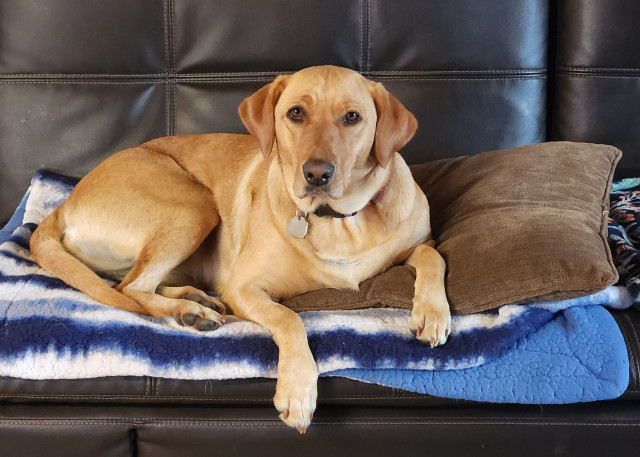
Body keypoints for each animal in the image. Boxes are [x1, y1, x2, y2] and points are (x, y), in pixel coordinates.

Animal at [28, 64, 450, 432]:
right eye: (296, 113)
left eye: (352, 117)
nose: (317, 174)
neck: (339, 220)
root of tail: (66, 201)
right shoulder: (243, 287)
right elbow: (289, 318)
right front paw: (297, 389)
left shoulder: (420, 242)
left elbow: (433, 254)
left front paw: (432, 312)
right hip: (194, 205)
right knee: (131, 288)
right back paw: (192, 311)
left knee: (134, 284)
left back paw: (195, 301)